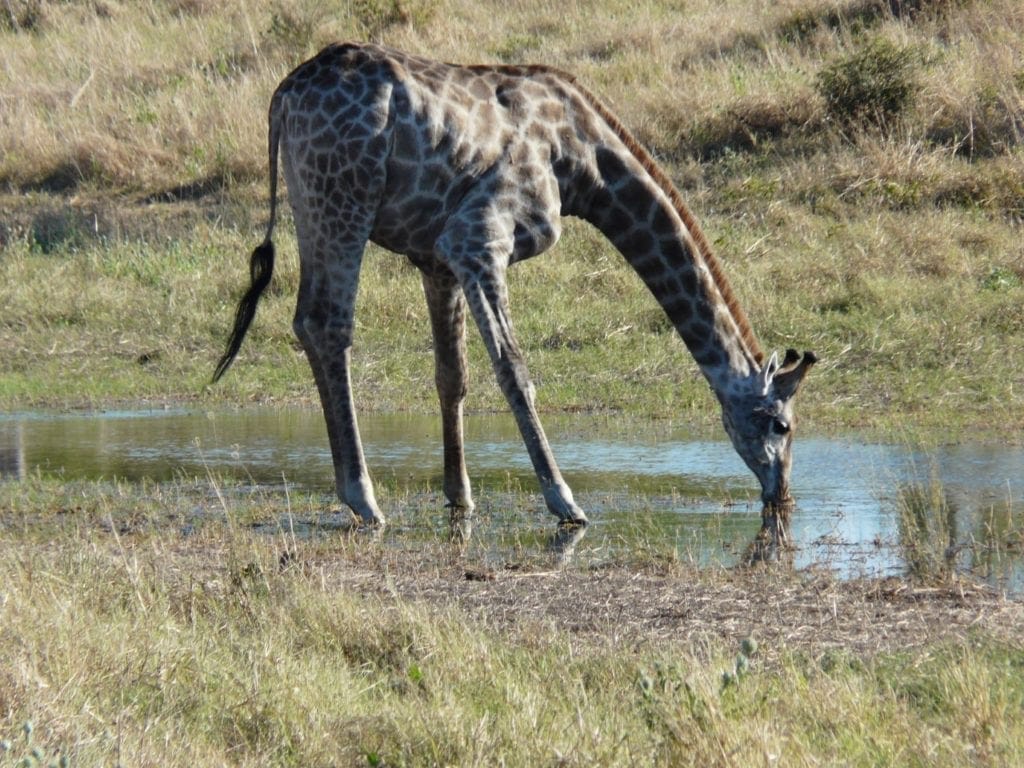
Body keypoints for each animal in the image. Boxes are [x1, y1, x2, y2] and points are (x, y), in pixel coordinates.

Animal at [214, 42, 817, 528]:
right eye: (782, 426)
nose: (782, 495)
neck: (584, 163)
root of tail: (283, 96)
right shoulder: (477, 238)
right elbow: (514, 371)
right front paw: (564, 500)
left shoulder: (435, 258)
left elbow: (452, 376)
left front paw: (459, 495)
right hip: (344, 198)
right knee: (328, 324)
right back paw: (362, 497)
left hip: (310, 201)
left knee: (309, 322)